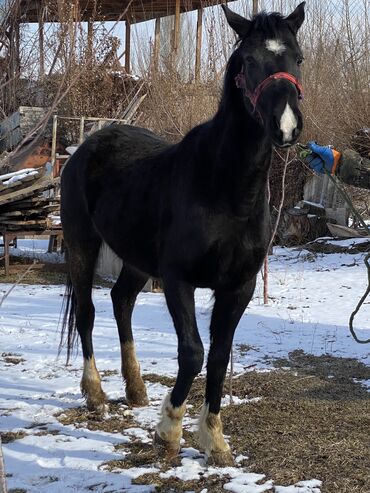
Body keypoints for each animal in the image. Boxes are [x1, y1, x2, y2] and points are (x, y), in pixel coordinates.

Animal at [60, 2, 304, 466]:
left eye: (297, 58)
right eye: (248, 61)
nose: (285, 127)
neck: (224, 189)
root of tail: (86, 144)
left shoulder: (239, 287)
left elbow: (221, 355)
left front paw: (215, 440)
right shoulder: (179, 281)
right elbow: (193, 353)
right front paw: (168, 431)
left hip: (136, 260)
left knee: (121, 301)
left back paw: (136, 389)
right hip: (81, 244)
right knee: (87, 312)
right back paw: (96, 395)